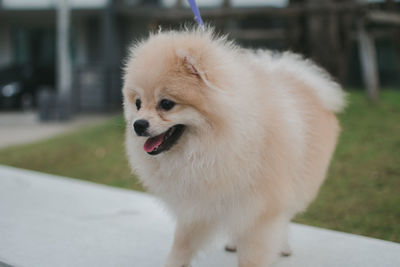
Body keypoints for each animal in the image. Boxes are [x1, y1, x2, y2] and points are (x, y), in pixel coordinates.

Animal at [122, 27, 346, 267]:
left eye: (166, 104)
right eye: (138, 103)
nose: (138, 124)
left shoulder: (260, 208)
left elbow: (253, 253)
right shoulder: (198, 204)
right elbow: (182, 243)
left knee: (284, 217)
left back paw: (283, 245)